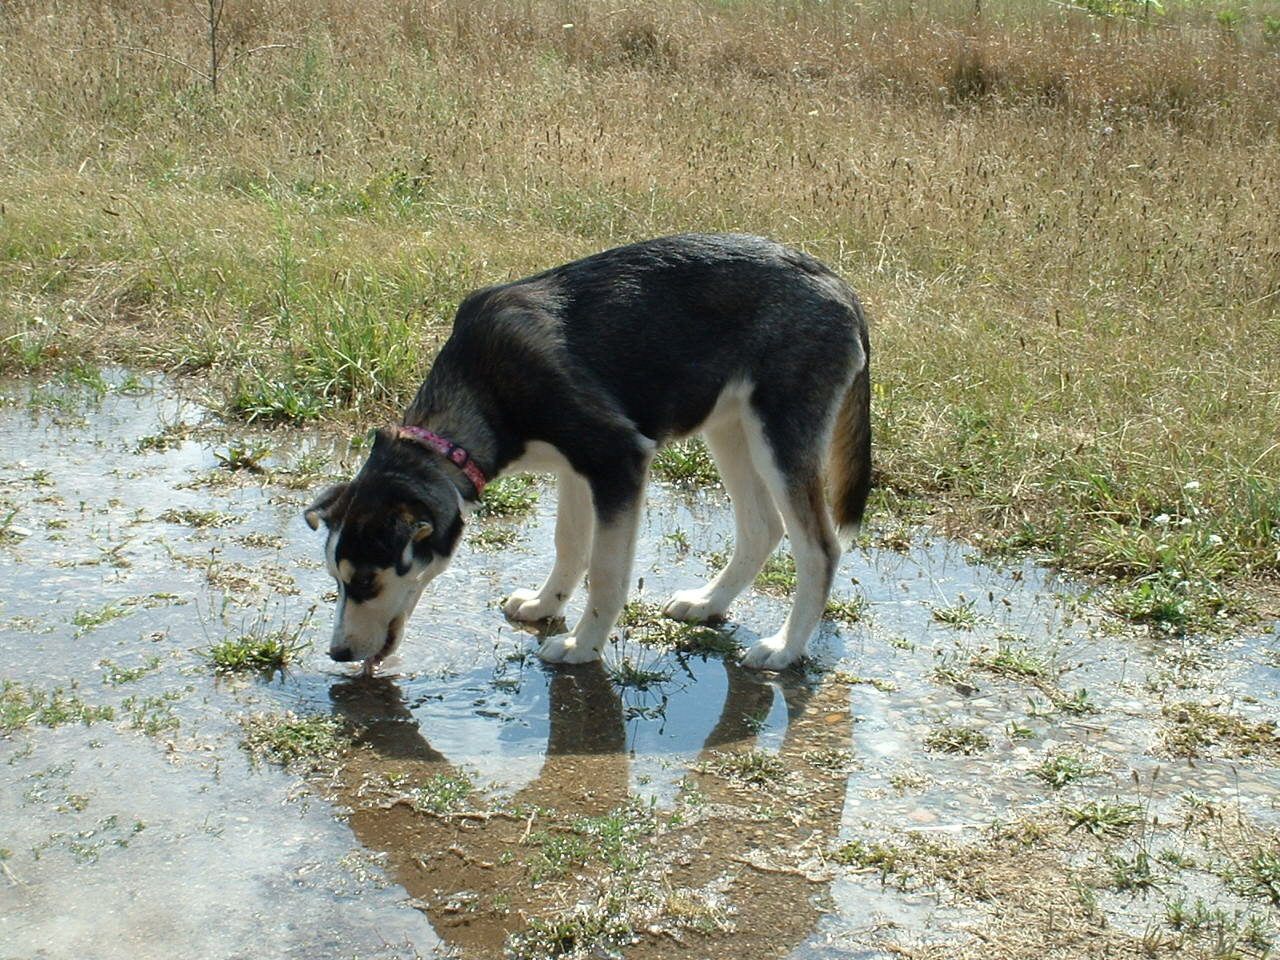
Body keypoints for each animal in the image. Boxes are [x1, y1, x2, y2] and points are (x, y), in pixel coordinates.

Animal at [305, 235, 870, 675]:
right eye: (337, 579)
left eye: (367, 581)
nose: (337, 654)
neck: (482, 388)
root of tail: (837, 284)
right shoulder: (576, 468)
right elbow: (570, 545)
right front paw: (544, 604)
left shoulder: (619, 459)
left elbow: (605, 571)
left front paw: (582, 645)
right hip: (730, 427)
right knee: (761, 528)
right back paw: (709, 603)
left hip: (779, 435)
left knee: (819, 549)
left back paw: (785, 649)